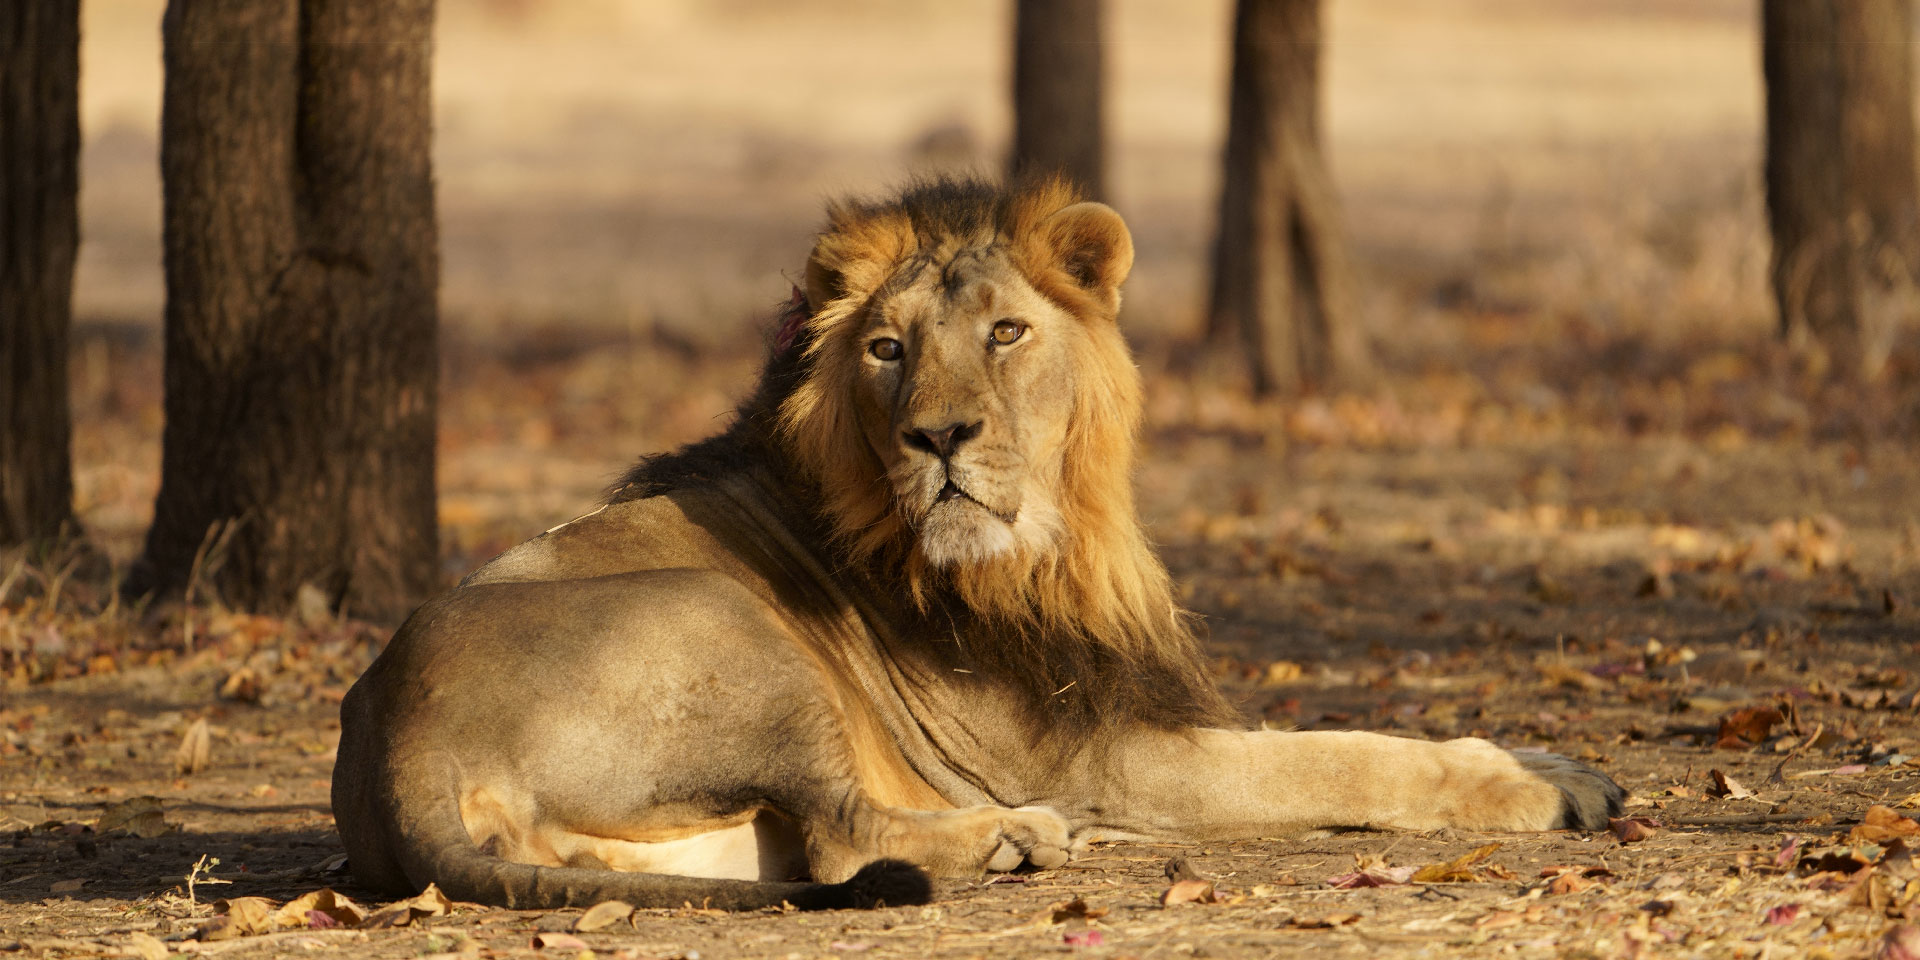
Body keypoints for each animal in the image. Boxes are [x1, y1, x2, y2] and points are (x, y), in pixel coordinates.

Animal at [334, 176, 1620, 910]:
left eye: (1005, 333)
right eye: (888, 348)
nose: (940, 436)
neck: (1055, 541)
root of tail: (400, 738)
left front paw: (1559, 763)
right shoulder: (1107, 757)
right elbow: (1347, 755)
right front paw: (1533, 793)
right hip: (727, 623)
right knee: (844, 842)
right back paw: (1015, 840)